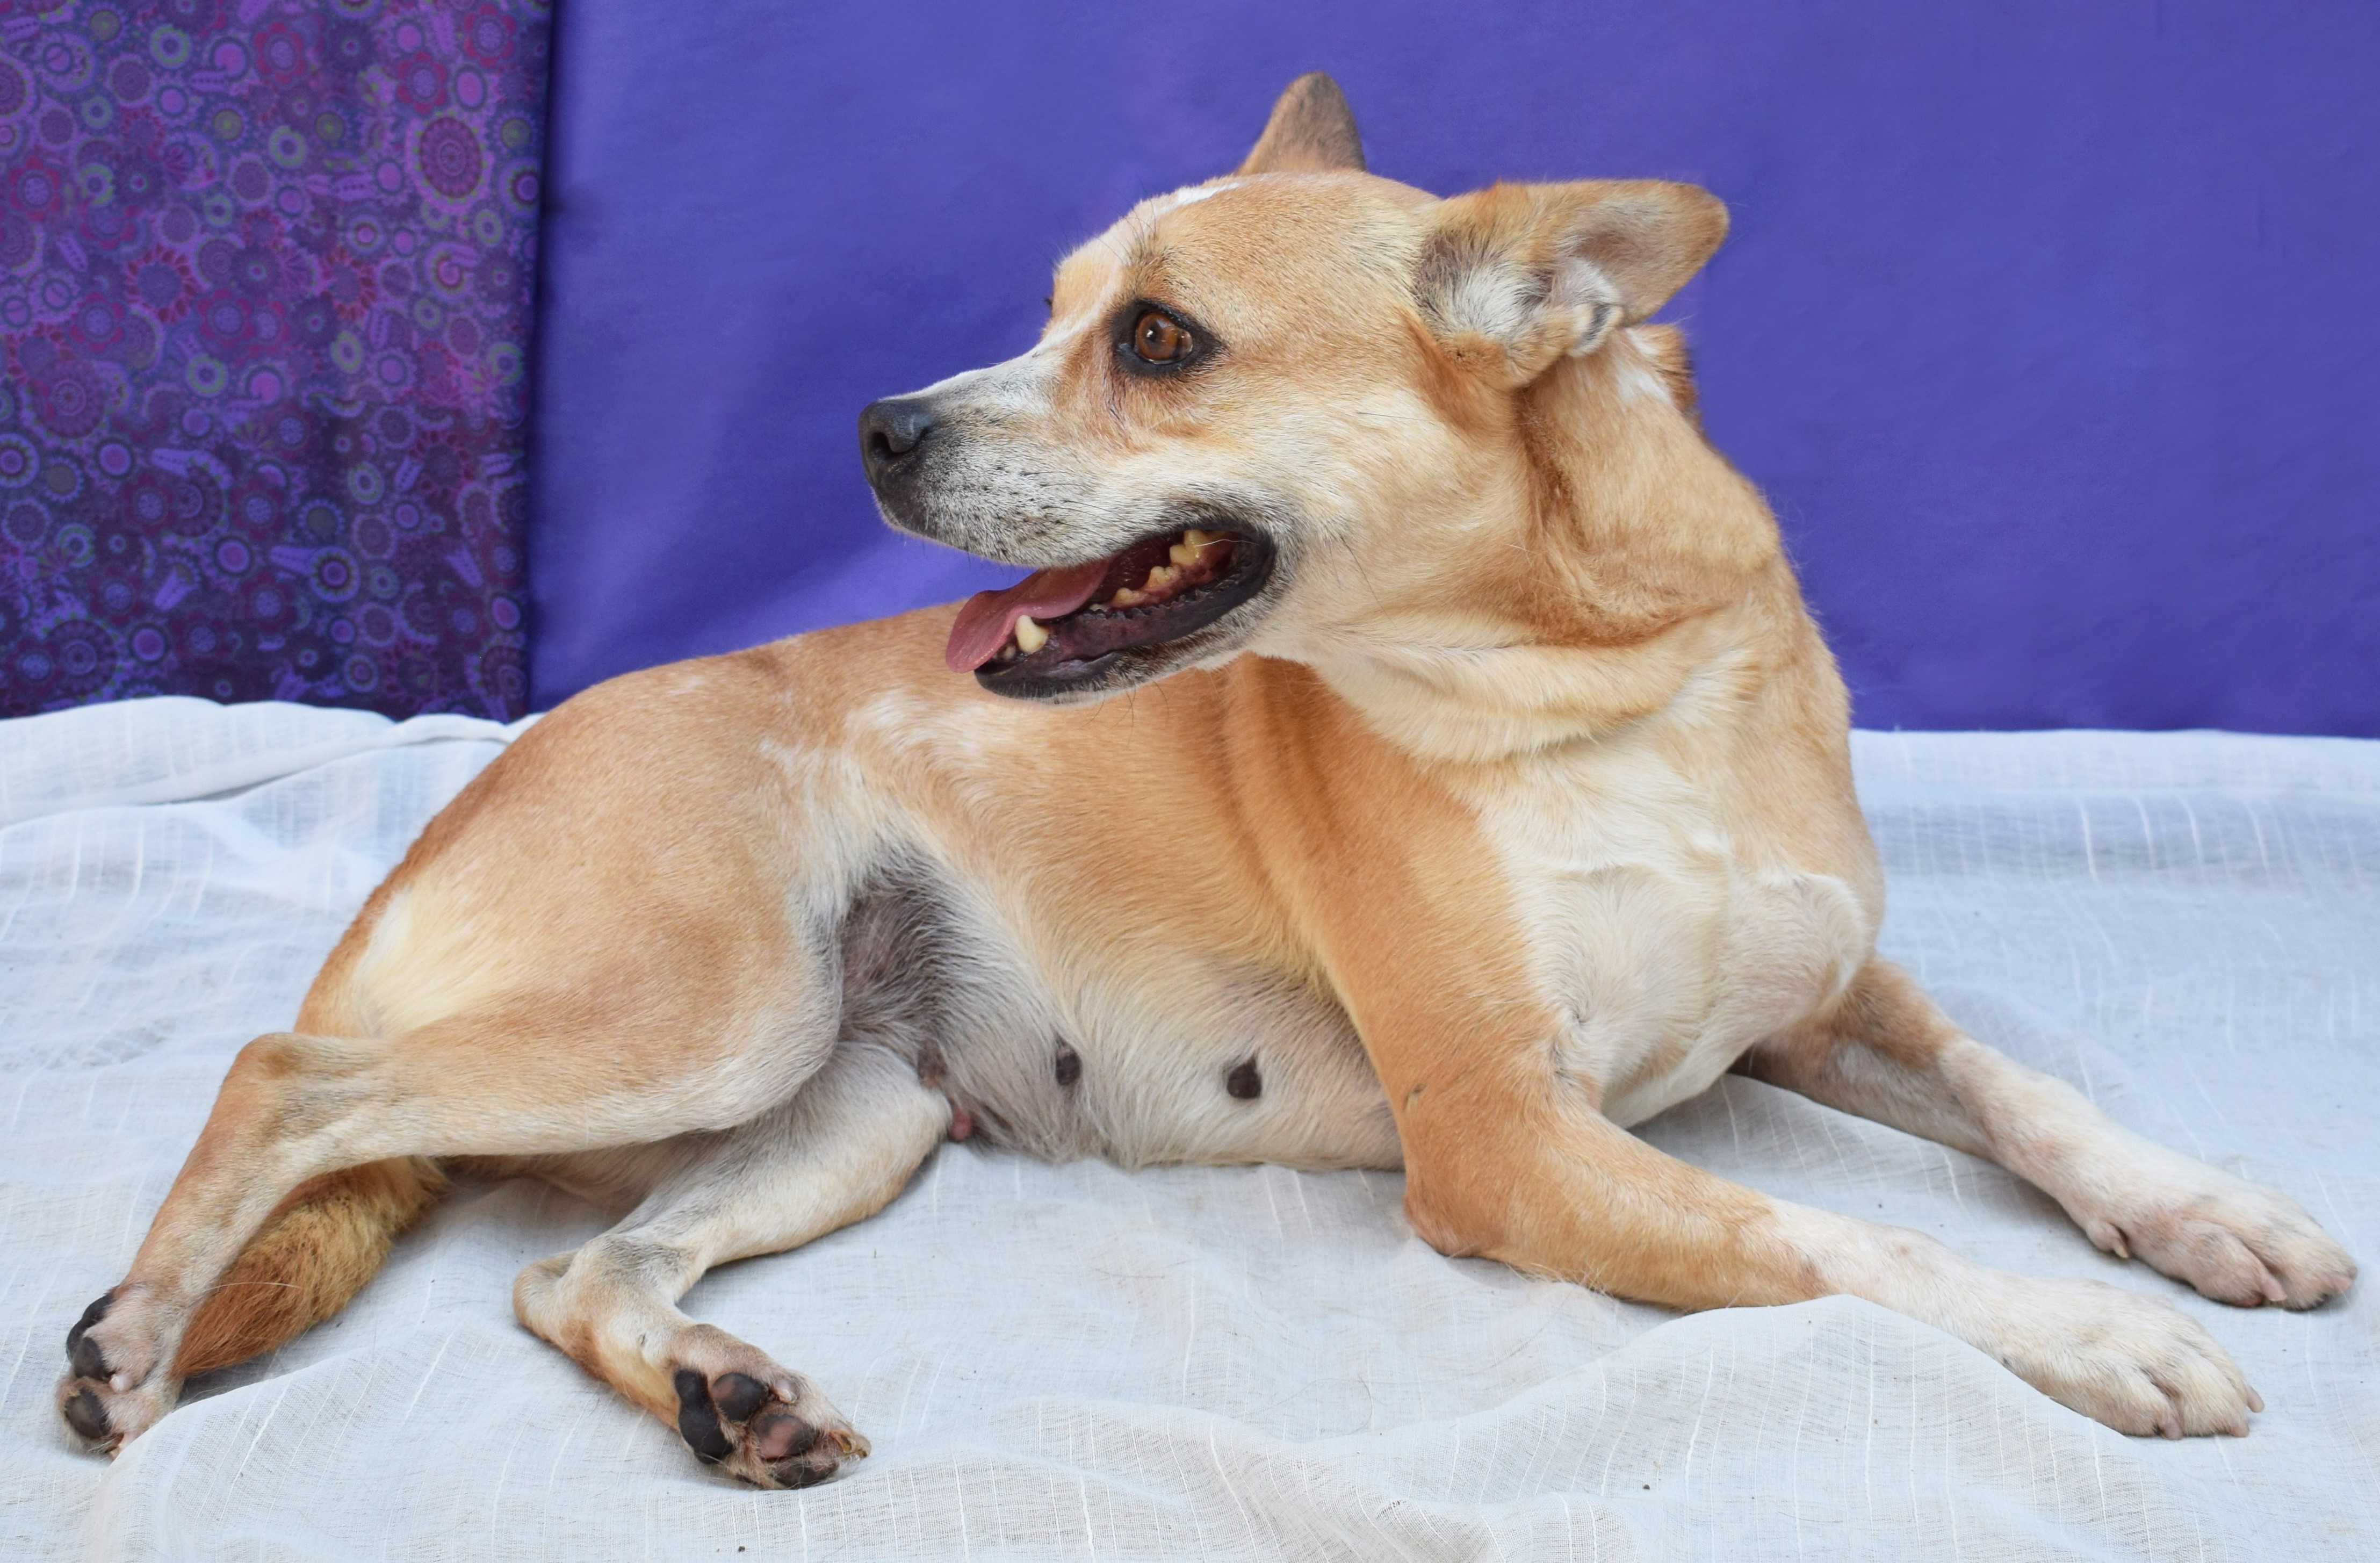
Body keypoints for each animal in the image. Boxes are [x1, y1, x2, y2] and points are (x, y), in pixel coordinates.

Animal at [60, 76, 2361, 1484]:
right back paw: (142, 1325)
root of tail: (475, 797)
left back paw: (725, 1392)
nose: (876, 426)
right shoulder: (1509, 1143)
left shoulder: (1824, 1001)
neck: (1609, 697)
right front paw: (2088, 1334)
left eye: (1156, 339)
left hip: (852, 1100)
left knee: (572, 1270)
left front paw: (2204, 1211)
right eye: (1057, 308)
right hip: (699, 1006)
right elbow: (1840, 1240)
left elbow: (2019, 1090)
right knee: (285, 1075)